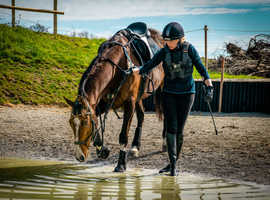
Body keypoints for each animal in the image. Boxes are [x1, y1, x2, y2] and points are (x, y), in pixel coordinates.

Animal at [66, 25, 165, 171]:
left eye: (84, 123)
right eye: (71, 123)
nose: (79, 156)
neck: (119, 64)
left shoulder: (129, 103)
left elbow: (123, 135)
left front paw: (121, 164)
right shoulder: (101, 103)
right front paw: (102, 149)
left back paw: (165, 143)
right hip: (139, 97)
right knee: (141, 116)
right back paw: (135, 146)